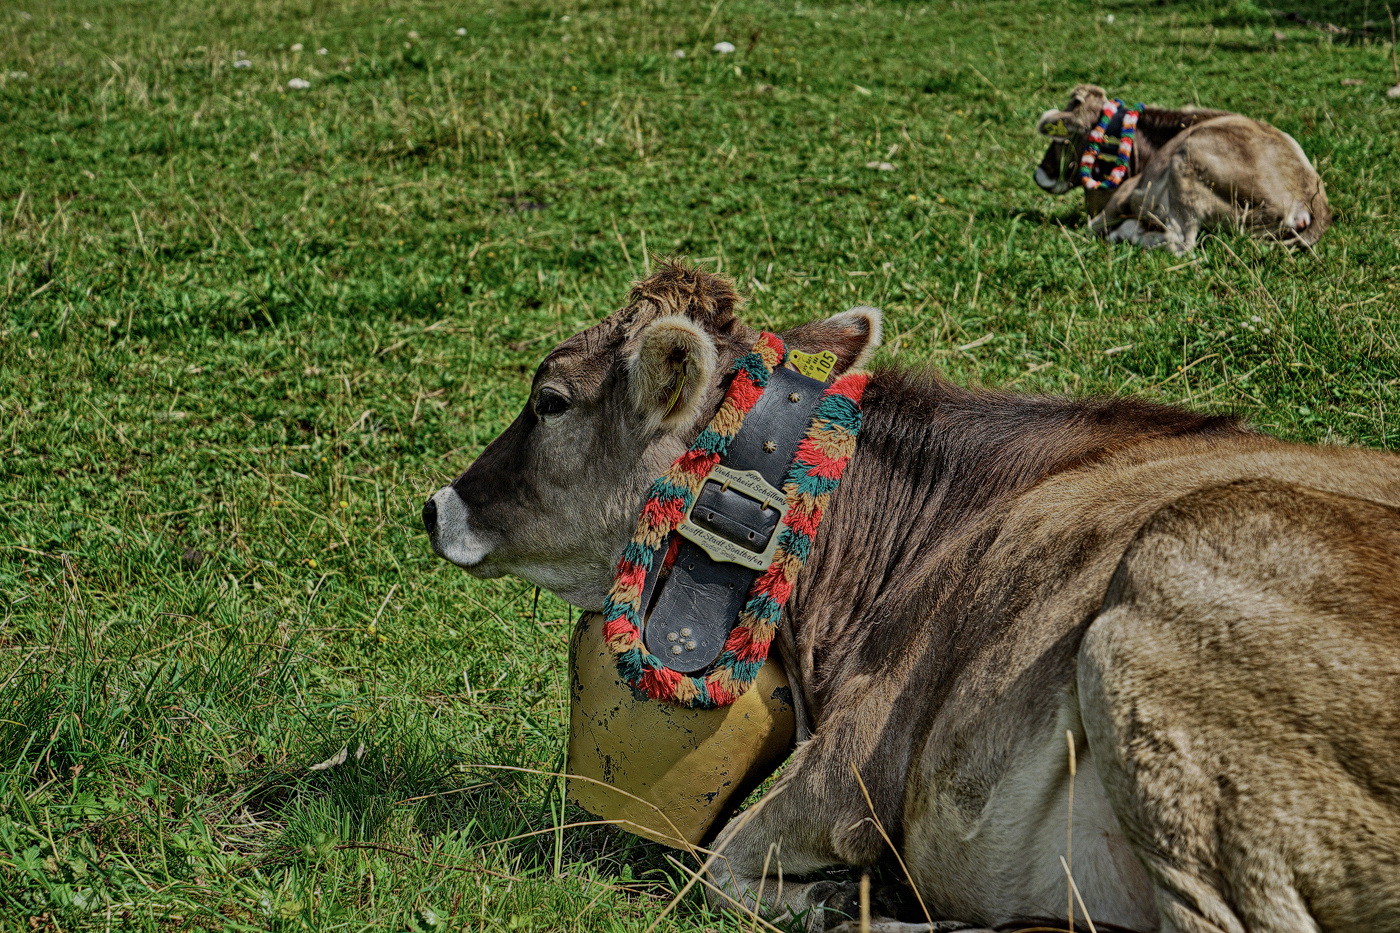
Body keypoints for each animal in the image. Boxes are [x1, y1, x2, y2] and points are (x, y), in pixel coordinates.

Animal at [1036, 81, 1327, 250]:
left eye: (1062, 139)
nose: (1040, 174)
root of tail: (1310, 199)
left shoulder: (1120, 199)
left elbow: (1091, 227)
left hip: (1185, 162)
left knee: (1181, 242)